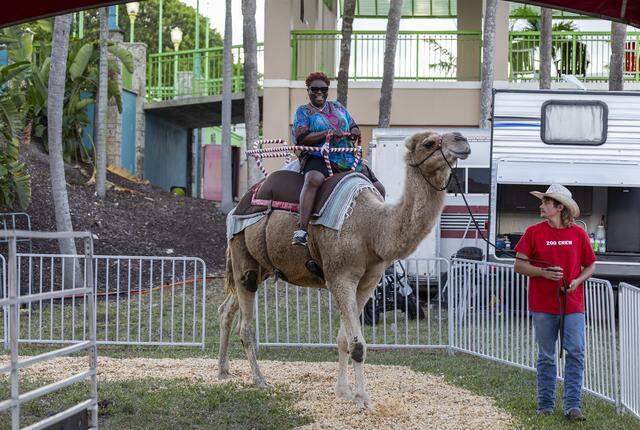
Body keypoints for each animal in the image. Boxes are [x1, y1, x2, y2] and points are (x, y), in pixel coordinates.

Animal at [218, 130, 471, 409]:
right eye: (428, 143)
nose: (462, 139)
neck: (371, 228)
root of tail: (237, 206)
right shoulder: (340, 277)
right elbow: (357, 345)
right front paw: (363, 400)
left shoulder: (368, 281)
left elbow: (343, 340)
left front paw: (343, 391)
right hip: (243, 255)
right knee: (245, 325)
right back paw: (260, 380)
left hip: (260, 267)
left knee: (226, 310)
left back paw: (223, 371)